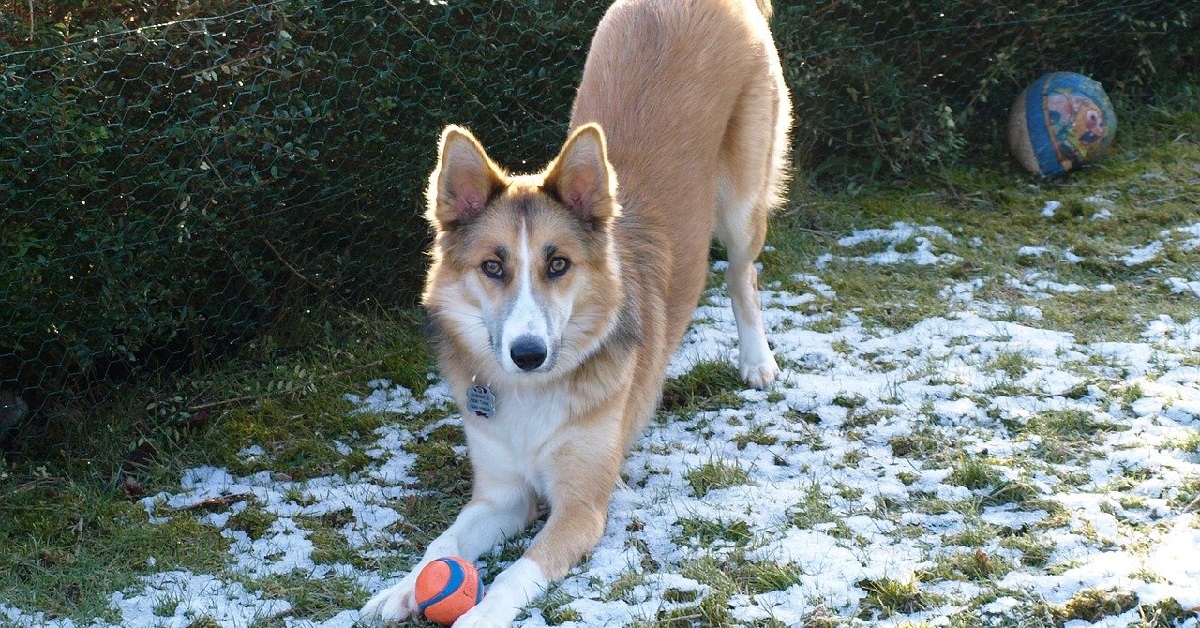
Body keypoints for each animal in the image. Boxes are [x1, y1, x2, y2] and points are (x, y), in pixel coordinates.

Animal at [360, 0, 792, 624]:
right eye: (493, 267)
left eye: (558, 263)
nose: (528, 354)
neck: (531, 394)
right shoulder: (501, 495)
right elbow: (443, 543)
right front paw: (401, 588)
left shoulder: (582, 508)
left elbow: (520, 570)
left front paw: (480, 614)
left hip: (741, 203)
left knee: (743, 276)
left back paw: (757, 360)